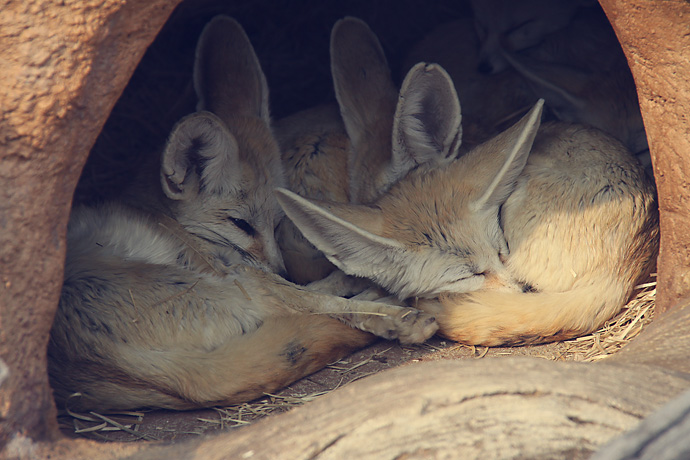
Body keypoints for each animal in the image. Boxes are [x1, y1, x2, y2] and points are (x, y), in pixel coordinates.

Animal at [48, 16, 436, 412]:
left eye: (277, 222)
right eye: (241, 224)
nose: (282, 268)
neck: (166, 218)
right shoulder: (236, 268)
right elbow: (311, 301)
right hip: (235, 284)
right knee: (307, 307)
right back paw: (393, 315)